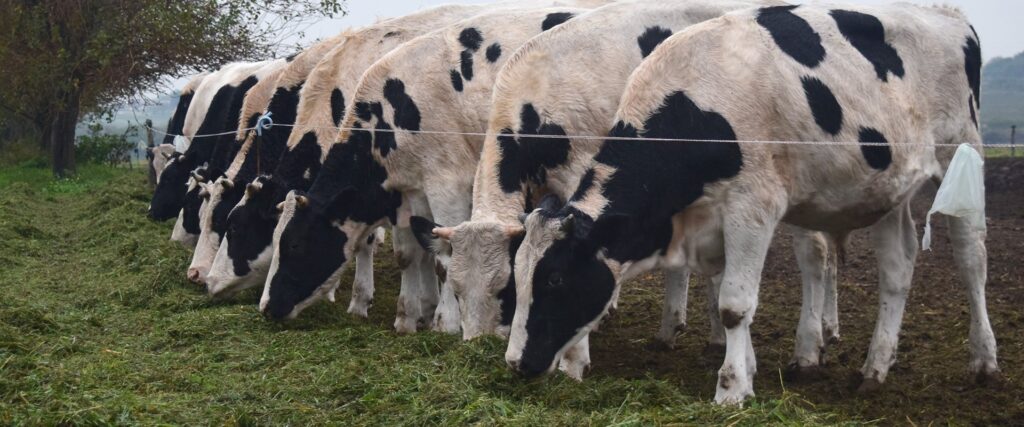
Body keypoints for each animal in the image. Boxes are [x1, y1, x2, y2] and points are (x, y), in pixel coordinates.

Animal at [260, 3, 602, 337]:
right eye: (273, 237)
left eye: (294, 244)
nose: (265, 307)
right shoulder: (409, 190)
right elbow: (412, 252)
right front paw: (412, 315)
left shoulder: (447, 184)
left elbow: (444, 256)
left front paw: (445, 322)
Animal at [505, 1, 999, 403]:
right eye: (519, 275)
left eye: (554, 279)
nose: (515, 362)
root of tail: (949, 14)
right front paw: (750, 369)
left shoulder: (752, 207)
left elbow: (734, 304)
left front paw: (732, 388)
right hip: (889, 188)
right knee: (897, 269)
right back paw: (874, 368)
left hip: (962, 155)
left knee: (971, 258)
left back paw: (984, 361)